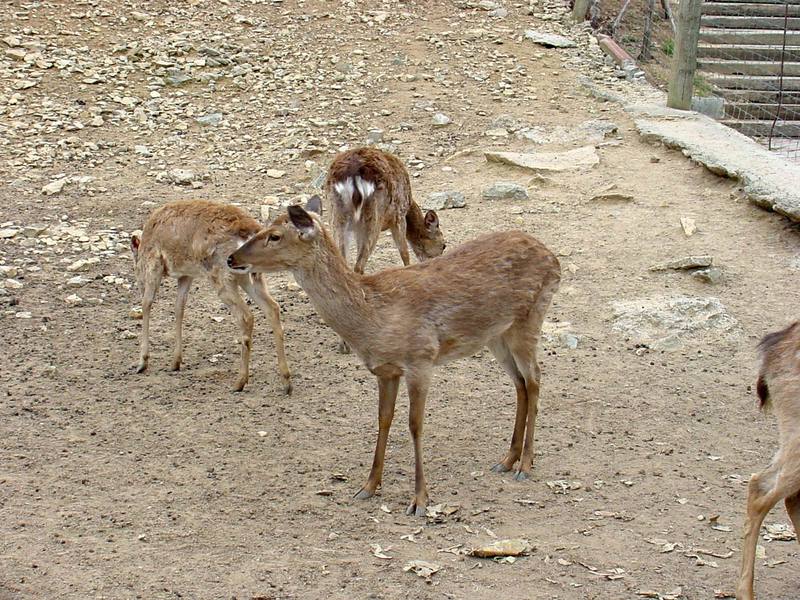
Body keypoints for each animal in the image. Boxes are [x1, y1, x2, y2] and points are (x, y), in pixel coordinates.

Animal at [130, 200, 292, 394]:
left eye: (134, 265)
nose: (138, 281)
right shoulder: (186, 274)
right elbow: (179, 308)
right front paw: (175, 362)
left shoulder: (154, 263)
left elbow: (147, 303)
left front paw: (142, 363)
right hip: (252, 276)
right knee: (272, 307)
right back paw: (286, 381)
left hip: (220, 276)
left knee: (245, 316)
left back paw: (239, 382)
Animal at [227, 198, 564, 516]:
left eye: (274, 235)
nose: (232, 258)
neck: (373, 318)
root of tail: (553, 258)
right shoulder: (386, 370)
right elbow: (383, 420)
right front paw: (368, 486)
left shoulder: (421, 359)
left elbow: (415, 425)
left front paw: (420, 500)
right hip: (496, 336)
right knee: (520, 383)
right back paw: (507, 459)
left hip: (529, 319)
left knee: (535, 379)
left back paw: (525, 464)